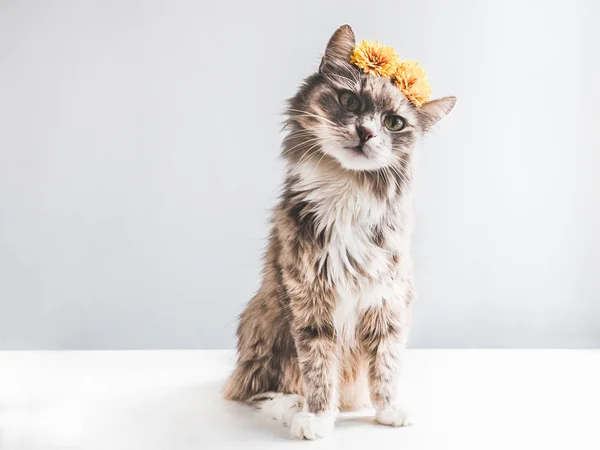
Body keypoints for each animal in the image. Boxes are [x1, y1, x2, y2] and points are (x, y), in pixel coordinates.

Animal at [224, 24, 454, 440]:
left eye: (394, 123)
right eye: (349, 101)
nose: (365, 132)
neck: (349, 189)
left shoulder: (388, 298)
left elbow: (386, 363)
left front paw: (388, 409)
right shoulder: (309, 298)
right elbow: (318, 368)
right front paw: (317, 417)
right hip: (265, 326)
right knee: (259, 388)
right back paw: (293, 409)